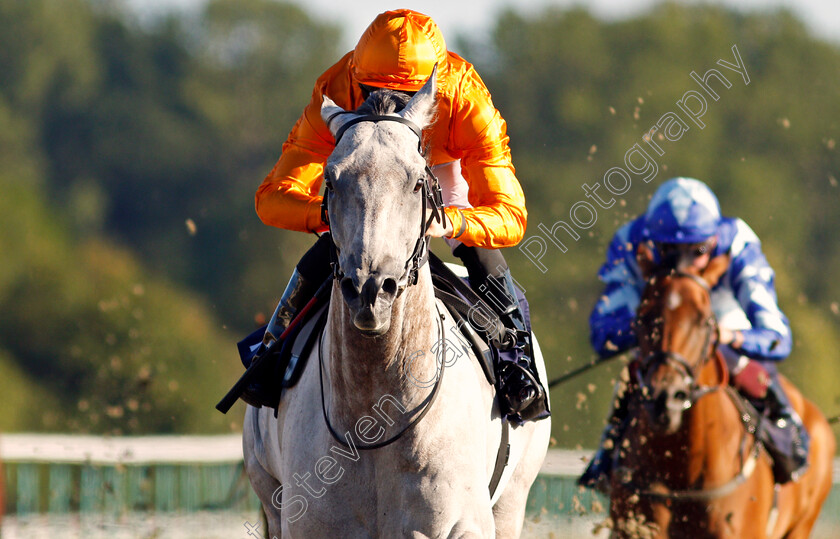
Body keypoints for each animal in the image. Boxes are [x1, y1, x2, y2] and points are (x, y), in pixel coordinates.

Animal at [243, 69, 552, 536]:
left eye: (418, 181)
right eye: (331, 180)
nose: (370, 291)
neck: (375, 413)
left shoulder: (463, 522)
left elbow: (504, 208)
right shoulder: (308, 523)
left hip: (513, 499)